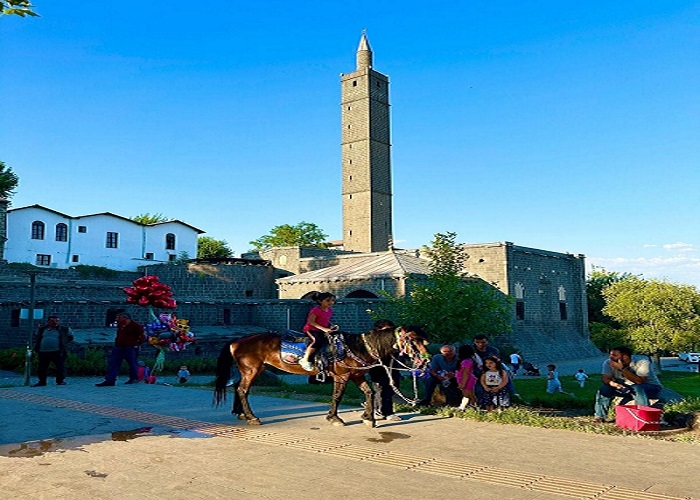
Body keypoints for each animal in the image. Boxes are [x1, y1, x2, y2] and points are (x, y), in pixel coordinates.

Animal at [216, 324, 430, 426]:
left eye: (423, 339)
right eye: (412, 339)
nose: (425, 360)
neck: (356, 347)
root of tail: (238, 341)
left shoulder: (357, 376)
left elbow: (369, 393)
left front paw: (368, 418)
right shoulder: (342, 377)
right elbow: (337, 396)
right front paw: (334, 418)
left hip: (254, 370)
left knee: (239, 388)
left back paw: (242, 413)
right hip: (251, 370)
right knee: (243, 390)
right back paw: (252, 417)